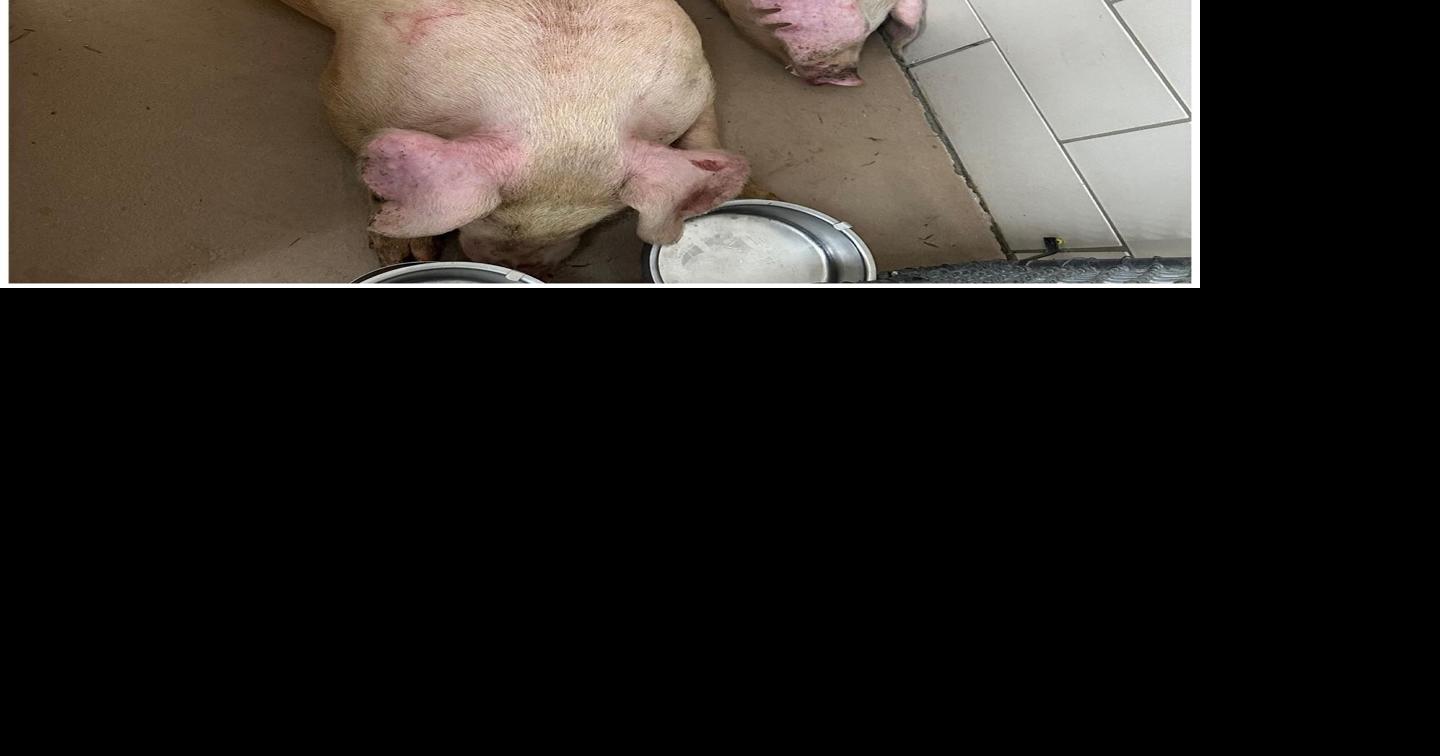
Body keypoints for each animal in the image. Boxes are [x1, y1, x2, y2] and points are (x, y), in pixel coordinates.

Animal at [280, 0, 750, 277]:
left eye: (597, 222)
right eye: (490, 214)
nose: (525, 267)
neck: (567, 110)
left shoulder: (695, 83)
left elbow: (705, 137)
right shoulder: (348, 90)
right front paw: (409, 256)